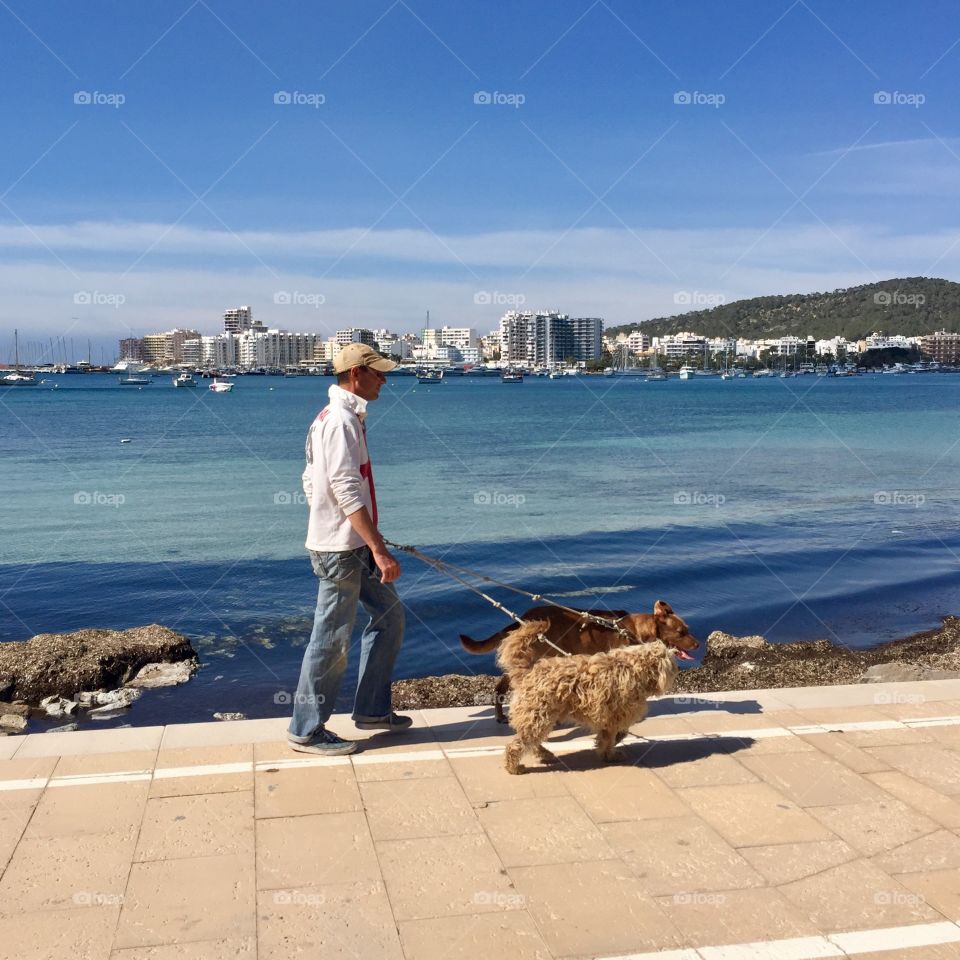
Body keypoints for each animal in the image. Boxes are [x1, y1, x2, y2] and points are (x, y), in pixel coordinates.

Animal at [460, 600, 696, 720]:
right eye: (681, 632)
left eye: (687, 629)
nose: (697, 644)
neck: (635, 631)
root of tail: (523, 619)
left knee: (501, 686)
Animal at [506, 628, 680, 776]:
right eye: (672, 663)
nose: (677, 670)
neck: (636, 667)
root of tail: (527, 673)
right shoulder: (615, 716)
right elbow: (611, 737)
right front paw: (611, 754)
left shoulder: (609, 718)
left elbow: (609, 736)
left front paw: (606, 751)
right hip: (538, 717)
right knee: (517, 744)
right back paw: (513, 767)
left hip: (540, 718)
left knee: (532, 741)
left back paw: (543, 754)